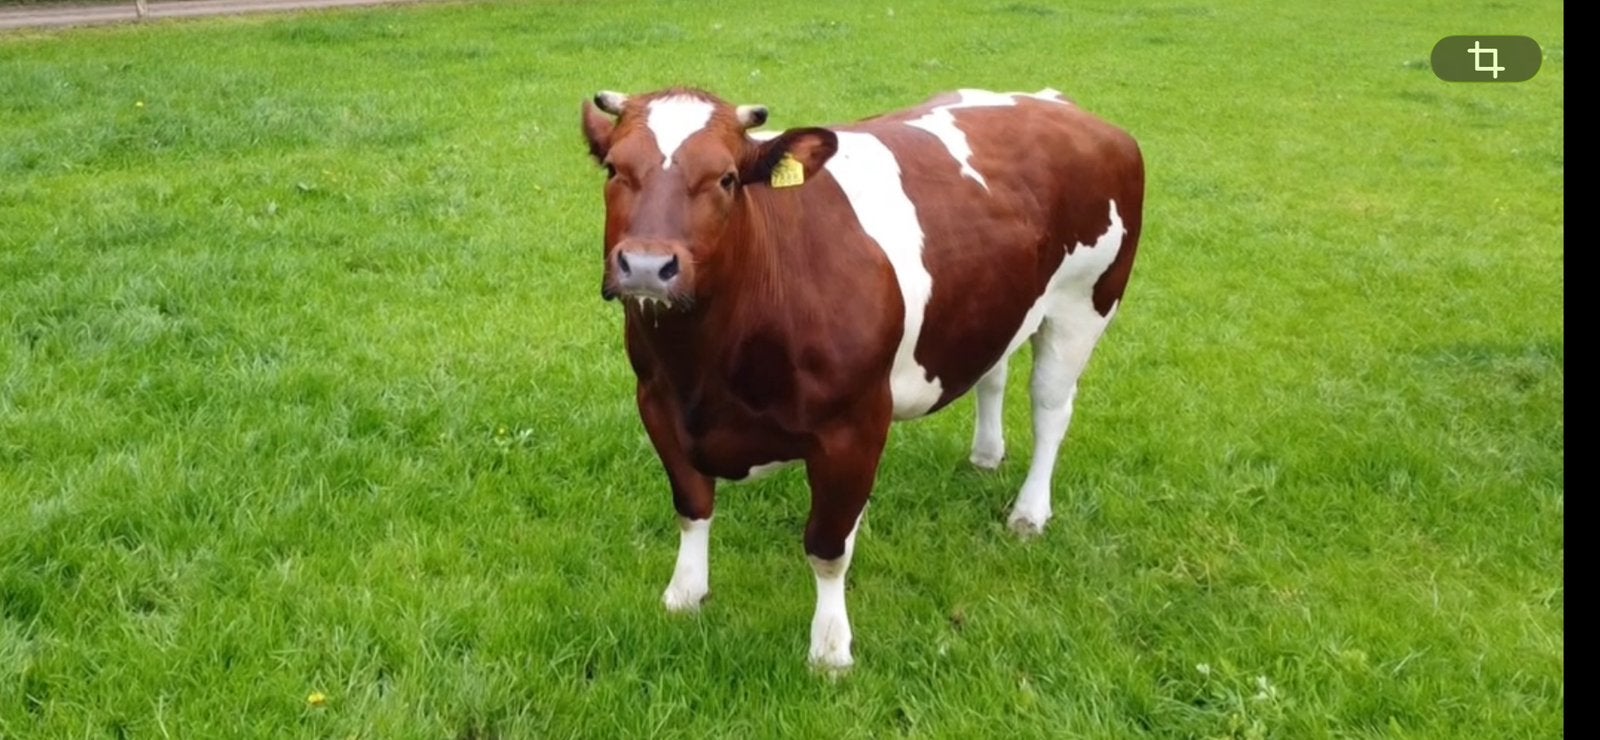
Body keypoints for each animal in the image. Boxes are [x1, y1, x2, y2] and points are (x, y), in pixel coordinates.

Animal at [580, 86, 1144, 671]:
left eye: (727, 178)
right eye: (614, 169)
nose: (648, 267)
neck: (706, 366)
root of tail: (1056, 103)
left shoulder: (853, 425)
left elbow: (828, 547)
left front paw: (830, 649)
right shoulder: (657, 401)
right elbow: (693, 507)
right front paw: (684, 595)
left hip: (1084, 305)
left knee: (1050, 410)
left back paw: (1030, 513)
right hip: (998, 302)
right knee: (994, 373)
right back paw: (986, 455)